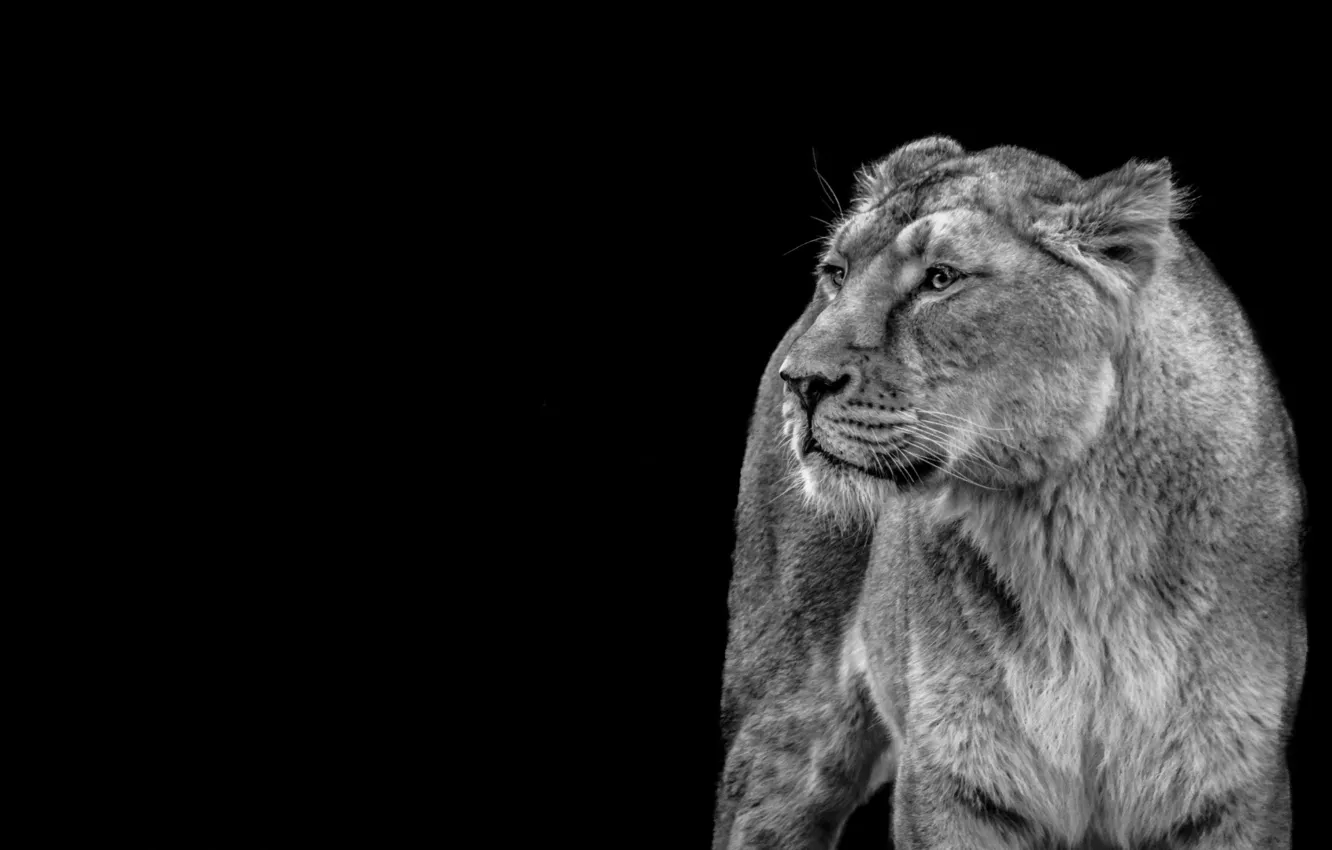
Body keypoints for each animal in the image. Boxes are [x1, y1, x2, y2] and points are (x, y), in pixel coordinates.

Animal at [715, 138, 1306, 849]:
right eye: (837, 271)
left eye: (940, 280)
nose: (799, 382)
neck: (1071, 532)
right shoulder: (954, 782)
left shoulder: (1236, 787)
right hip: (781, 728)